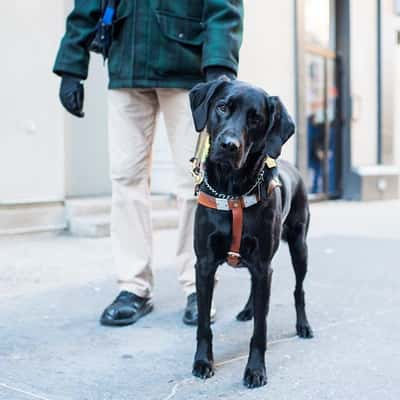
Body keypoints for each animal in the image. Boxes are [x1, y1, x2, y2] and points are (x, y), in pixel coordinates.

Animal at [189, 78, 314, 388]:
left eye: (256, 119)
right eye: (222, 107)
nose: (229, 146)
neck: (232, 191)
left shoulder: (262, 265)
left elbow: (261, 329)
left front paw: (255, 370)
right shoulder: (204, 265)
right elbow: (203, 325)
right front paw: (202, 362)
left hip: (300, 247)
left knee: (299, 289)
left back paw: (303, 325)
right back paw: (248, 309)